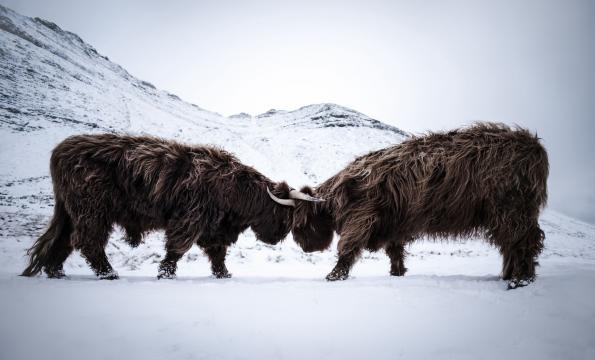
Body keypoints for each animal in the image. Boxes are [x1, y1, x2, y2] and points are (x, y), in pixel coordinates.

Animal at [22, 134, 322, 280]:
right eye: (284, 218)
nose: (276, 239)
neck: (234, 190)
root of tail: (59, 152)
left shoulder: (214, 228)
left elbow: (217, 253)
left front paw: (224, 274)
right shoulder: (191, 219)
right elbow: (178, 248)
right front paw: (165, 274)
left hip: (70, 211)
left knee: (62, 240)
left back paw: (56, 272)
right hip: (93, 209)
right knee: (88, 241)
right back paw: (109, 274)